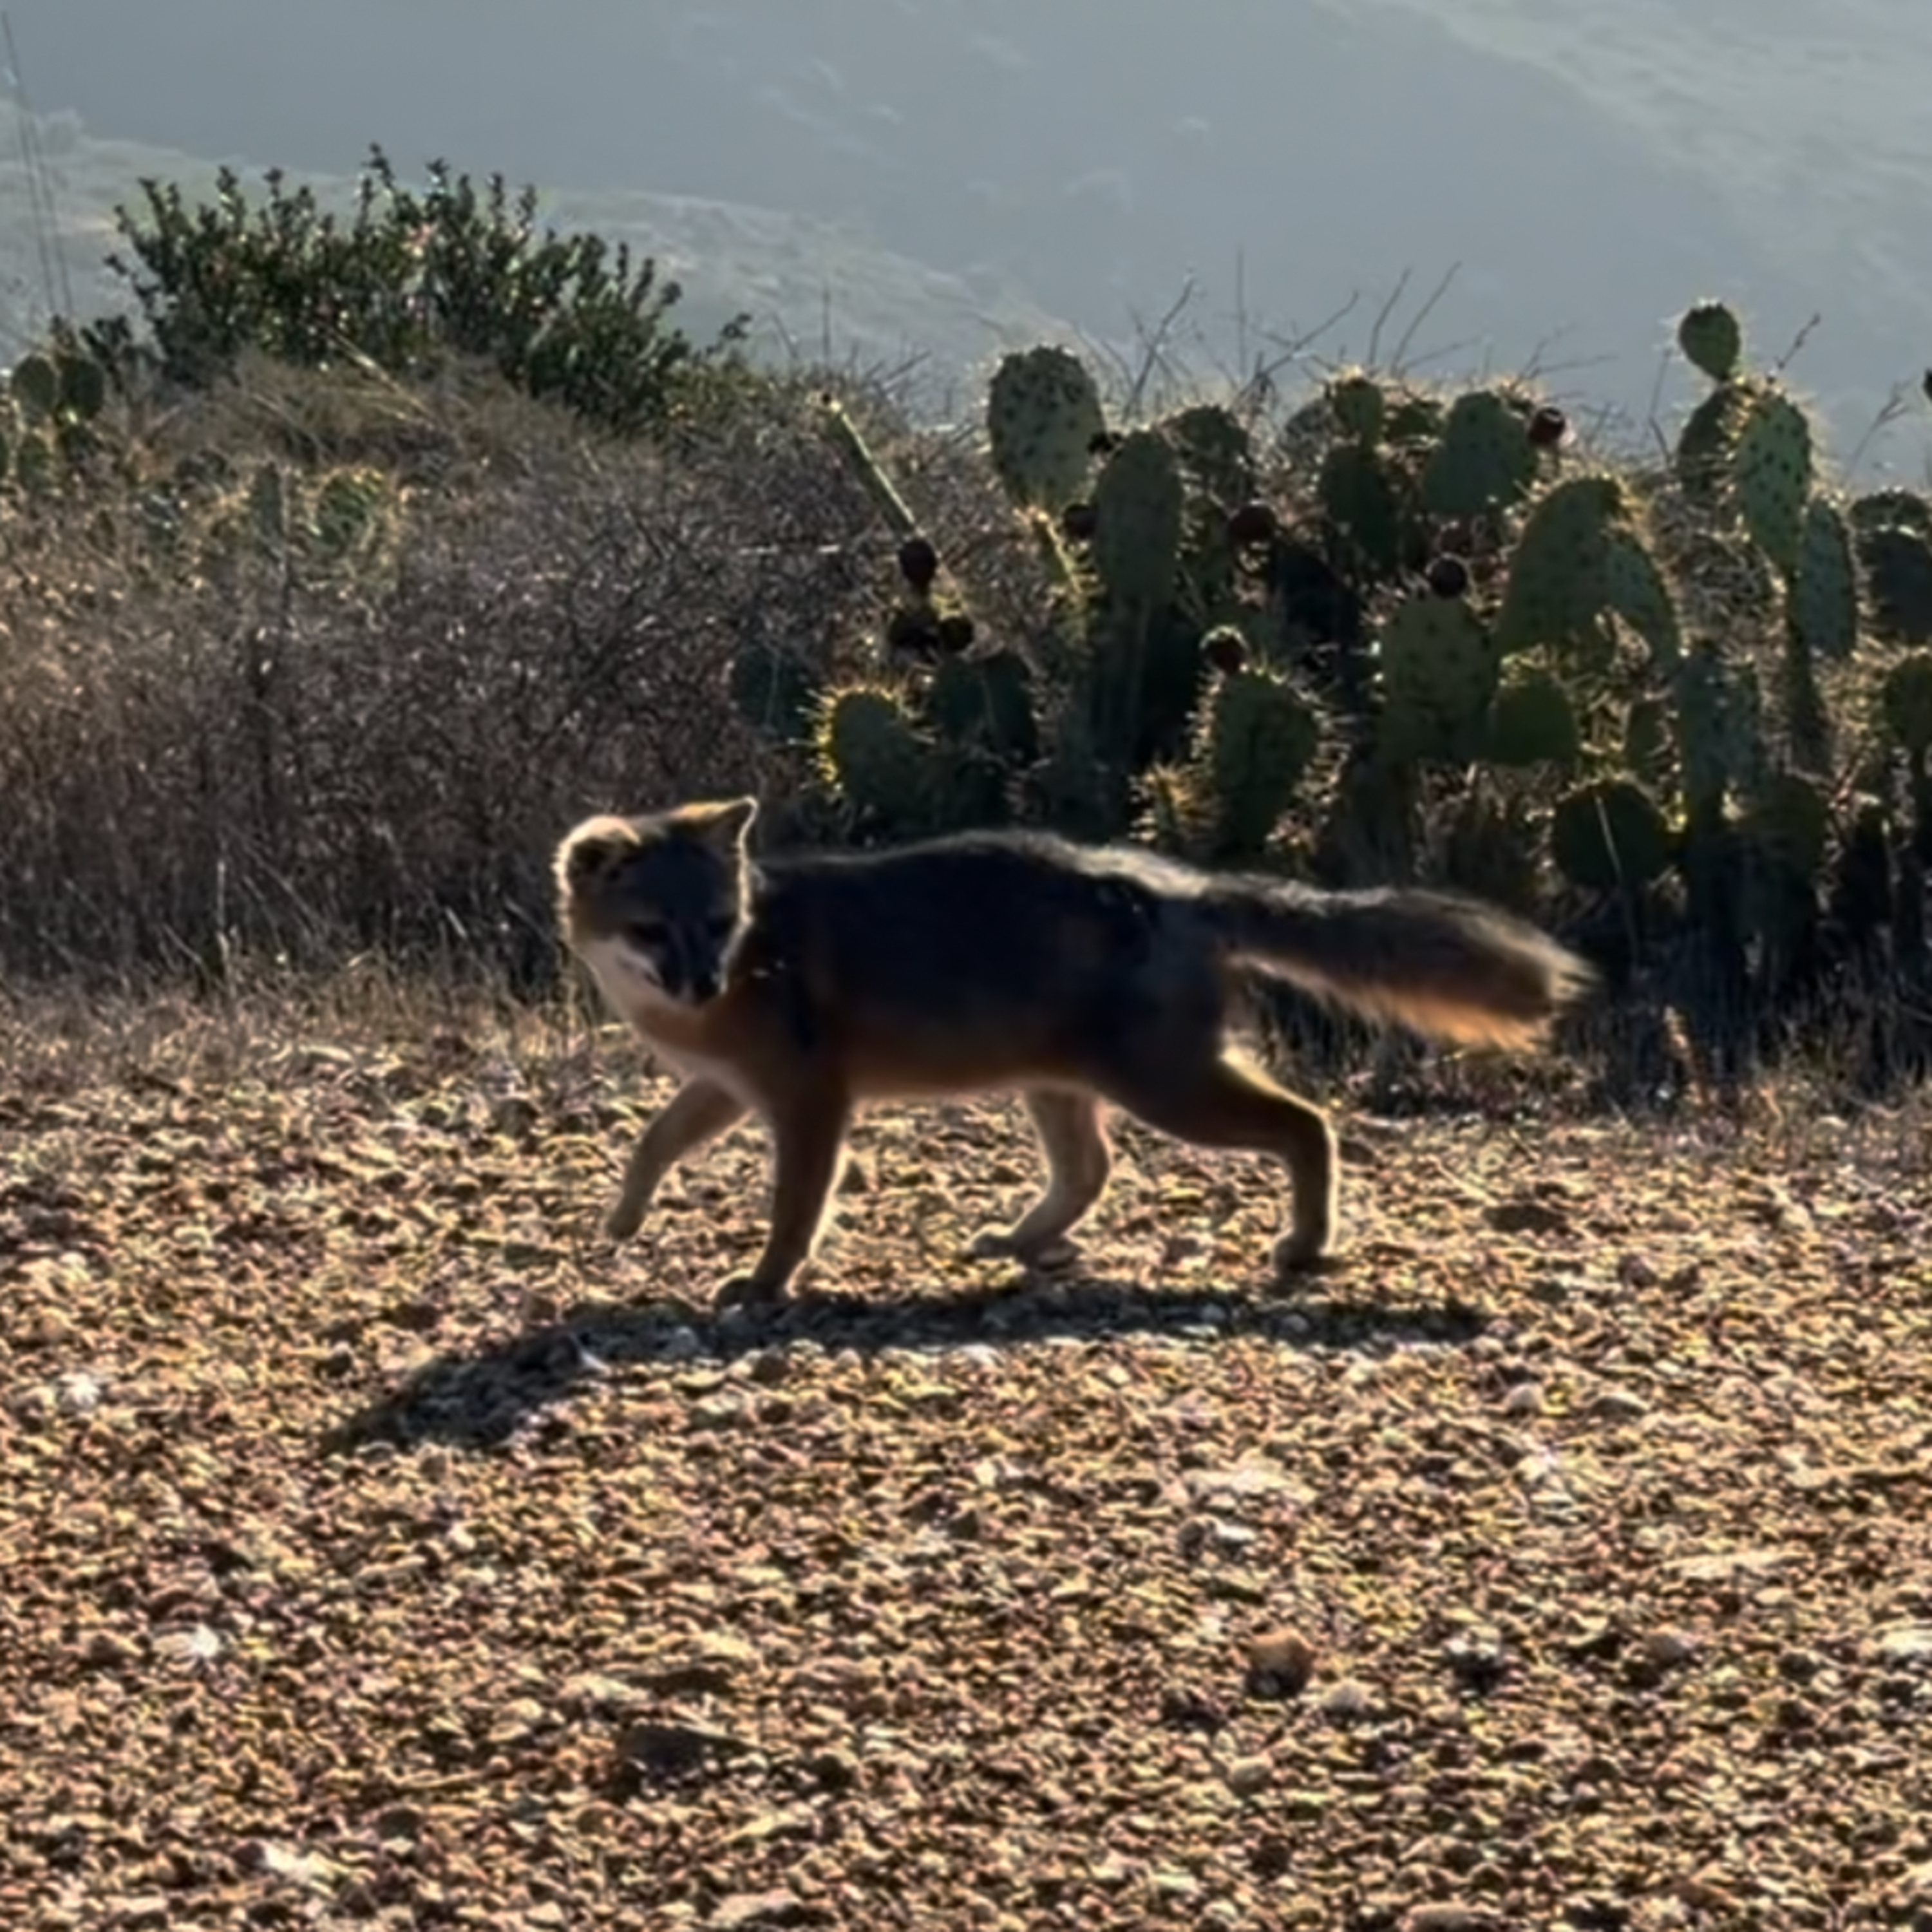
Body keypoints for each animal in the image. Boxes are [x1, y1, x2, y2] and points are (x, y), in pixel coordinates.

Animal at [552, 795, 1595, 1307]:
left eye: (718, 925)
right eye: (654, 932)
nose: (702, 983)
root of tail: (1183, 888)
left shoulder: (811, 1103)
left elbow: (794, 1212)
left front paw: (767, 1283)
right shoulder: (728, 1089)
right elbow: (650, 1142)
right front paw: (621, 1221)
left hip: (1170, 1091)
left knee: (1309, 1125)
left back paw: (1305, 1244)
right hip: (1063, 1089)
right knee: (1092, 1172)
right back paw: (1020, 1239)